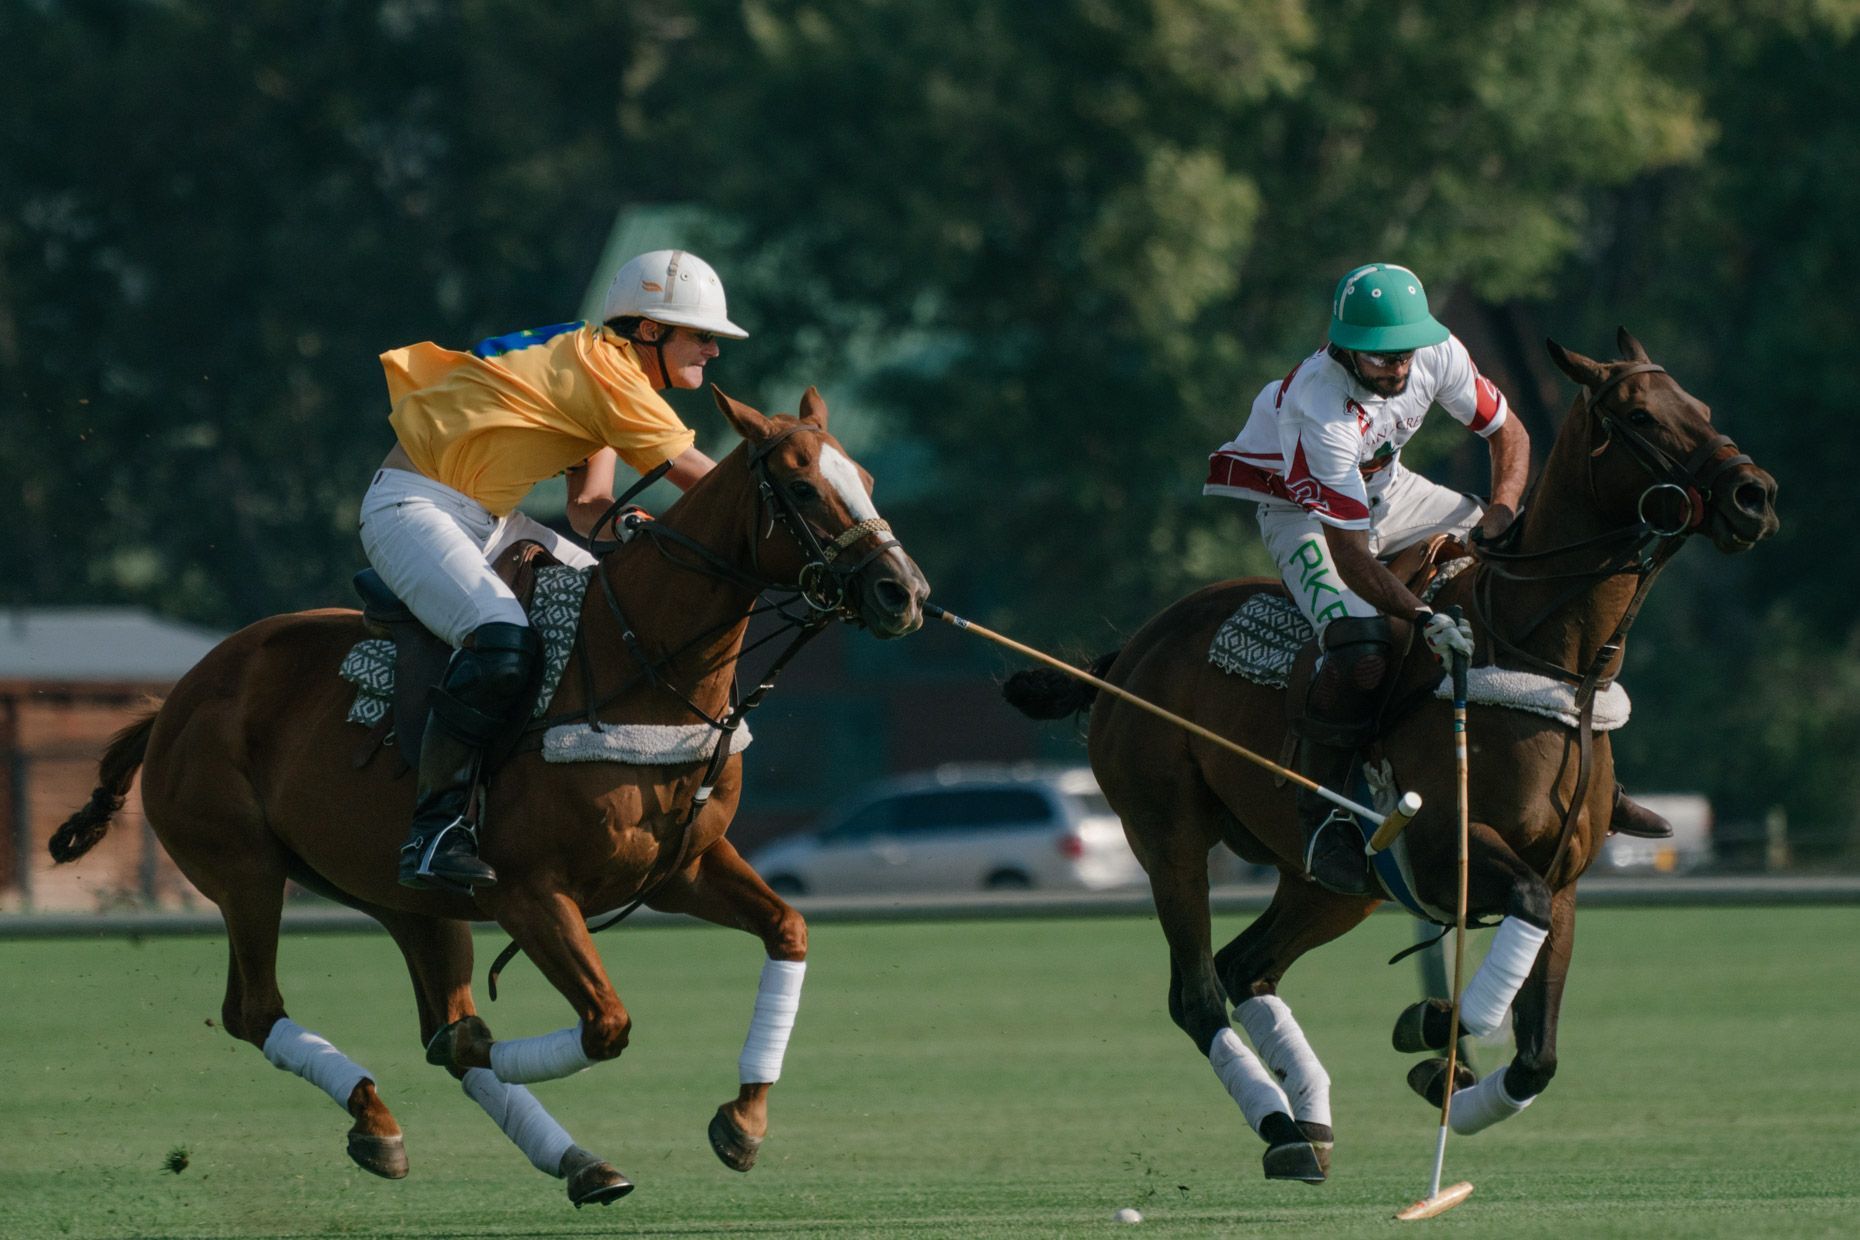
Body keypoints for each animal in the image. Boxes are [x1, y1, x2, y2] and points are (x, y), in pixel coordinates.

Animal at [51, 386, 930, 1207]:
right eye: (802, 486)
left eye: (866, 478)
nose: (904, 593)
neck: (641, 665)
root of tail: (178, 697)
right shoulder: (528, 892)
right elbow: (604, 1024)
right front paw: (486, 1050)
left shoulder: (682, 867)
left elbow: (788, 929)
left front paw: (743, 1121)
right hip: (245, 869)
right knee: (255, 1010)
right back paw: (384, 1118)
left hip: (408, 903)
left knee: (423, 1006)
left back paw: (565, 1159)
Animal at [1003, 330, 1779, 1182]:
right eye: (1640, 414)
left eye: (1699, 405)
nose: (1755, 496)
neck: (1547, 659)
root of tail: (1128, 656)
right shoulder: (1447, 846)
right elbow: (1512, 943)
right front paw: (1443, 1029)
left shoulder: (1564, 875)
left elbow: (1539, 1053)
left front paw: (1447, 1068)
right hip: (1167, 834)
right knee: (1199, 991)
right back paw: (1281, 1124)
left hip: (1331, 885)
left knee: (1248, 965)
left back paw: (1310, 1119)